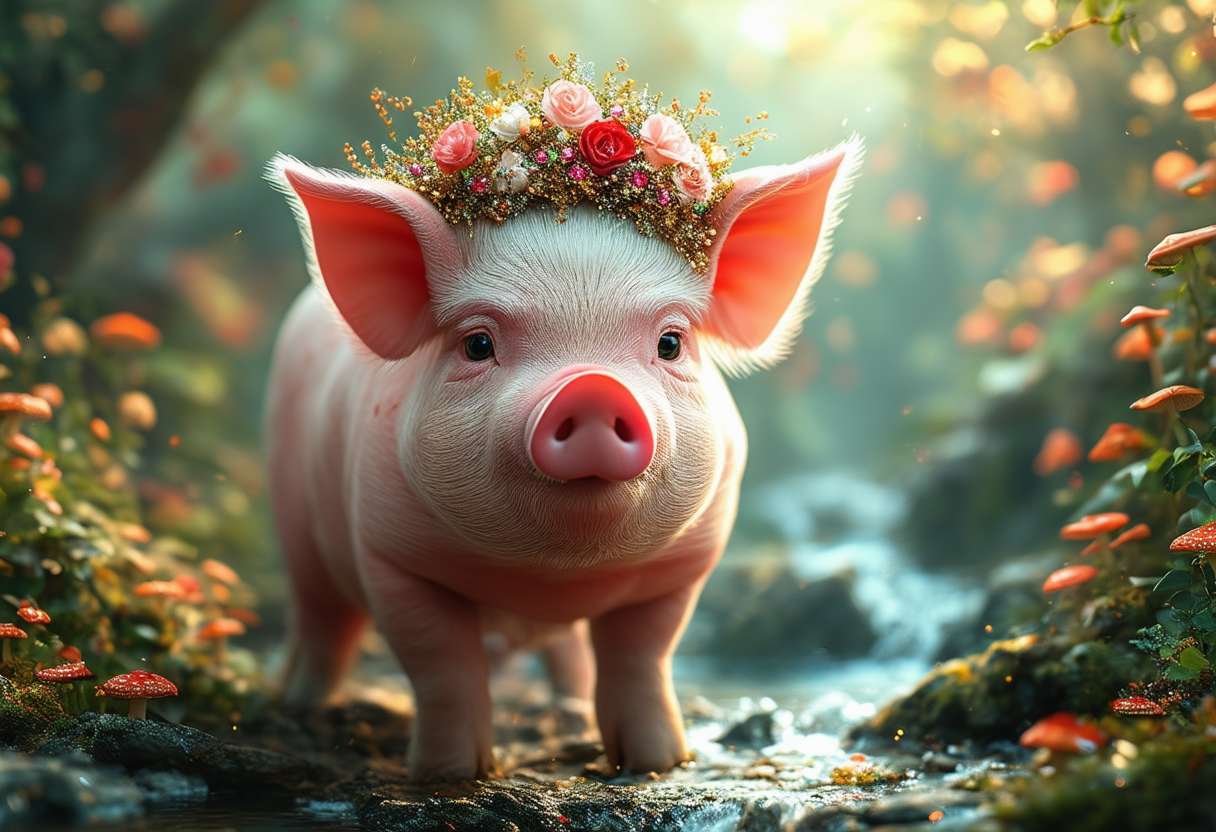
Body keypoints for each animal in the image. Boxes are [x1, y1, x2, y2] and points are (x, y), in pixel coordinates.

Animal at [265, 135, 861, 781]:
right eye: (477, 344)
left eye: (670, 343)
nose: (593, 387)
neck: (555, 577)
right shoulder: (388, 551)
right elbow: (440, 663)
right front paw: (450, 777)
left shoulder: (684, 564)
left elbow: (643, 653)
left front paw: (658, 763)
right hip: (296, 523)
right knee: (323, 619)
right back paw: (298, 705)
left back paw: (571, 716)